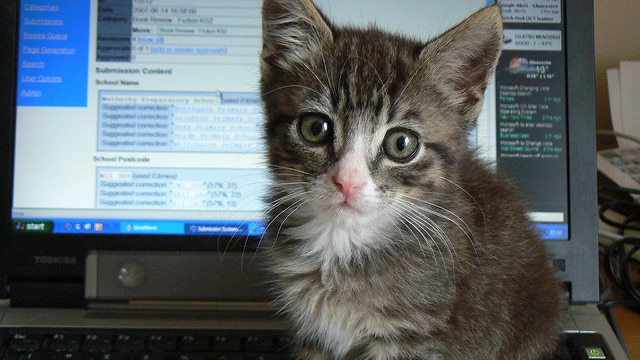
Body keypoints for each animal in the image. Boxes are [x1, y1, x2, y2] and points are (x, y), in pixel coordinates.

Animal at [258, 1, 564, 358]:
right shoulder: (313, 335)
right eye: (314, 128)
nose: (347, 182)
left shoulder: (415, 335)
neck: (344, 243)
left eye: (401, 144)